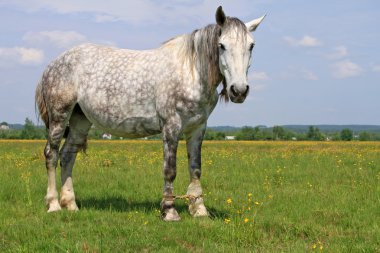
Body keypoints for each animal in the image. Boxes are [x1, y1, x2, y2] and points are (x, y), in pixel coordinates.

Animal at [35, 4, 264, 220]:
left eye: (251, 46)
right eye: (221, 45)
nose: (239, 90)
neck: (191, 71)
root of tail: (53, 64)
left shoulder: (198, 128)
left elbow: (195, 167)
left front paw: (199, 210)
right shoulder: (171, 126)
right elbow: (170, 170)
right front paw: (169, 211)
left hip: (80, 120)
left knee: (68, 155)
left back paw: (71, 204)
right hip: (59, 116)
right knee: (51, 154)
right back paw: (53, 204)